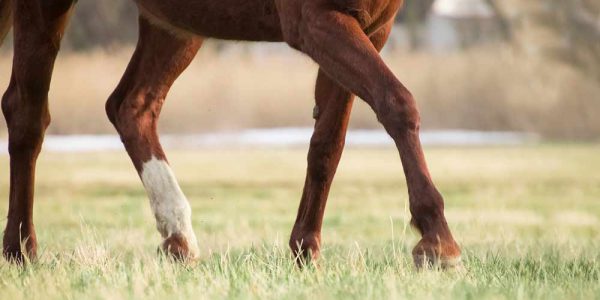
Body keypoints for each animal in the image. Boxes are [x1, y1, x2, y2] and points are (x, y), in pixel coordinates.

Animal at [0, 0, 462, 268]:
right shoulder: (316, 20)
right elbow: (397, 102)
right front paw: (437, 240)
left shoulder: (372, 28)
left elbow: (328, 143)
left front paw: (305, 248)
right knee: (26, 112)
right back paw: (21, 251)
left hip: (178, 22)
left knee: (132, 106)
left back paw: (178, 237)